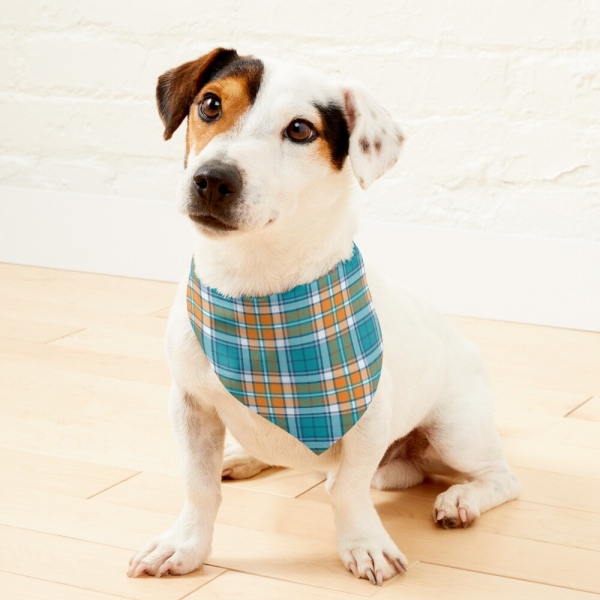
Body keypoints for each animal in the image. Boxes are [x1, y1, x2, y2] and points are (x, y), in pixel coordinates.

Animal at [127, 48, 520, 584]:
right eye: (210, 104)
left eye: (299, 130)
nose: (212, 179)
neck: (257, 291)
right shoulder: (190, 405)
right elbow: (199, 486)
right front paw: (185, 545)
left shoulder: (368, 420)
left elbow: (347, 490)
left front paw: (365, 544)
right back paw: (244, 456)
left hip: (456, 432)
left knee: (500, 477)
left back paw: (461, 499)